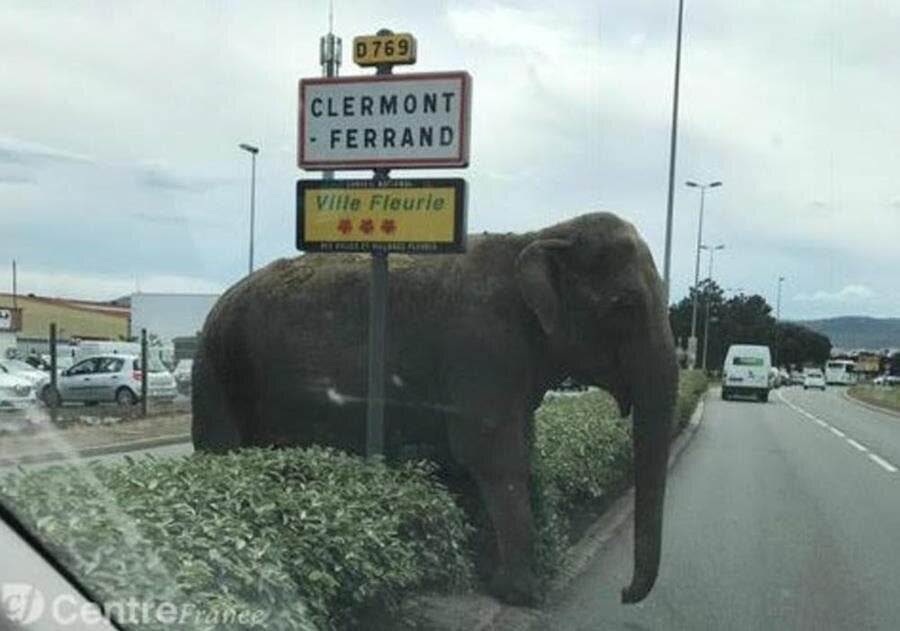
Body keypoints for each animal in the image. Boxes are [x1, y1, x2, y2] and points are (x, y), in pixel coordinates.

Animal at [193, 212, 680, 608]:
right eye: (624, 305)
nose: (623, 592)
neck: (539, 235)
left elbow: (512, 449)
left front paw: (499, 578)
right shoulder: (479, 346)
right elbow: (491, 456)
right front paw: (521, 593)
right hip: (216, 372)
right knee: (220, 446)